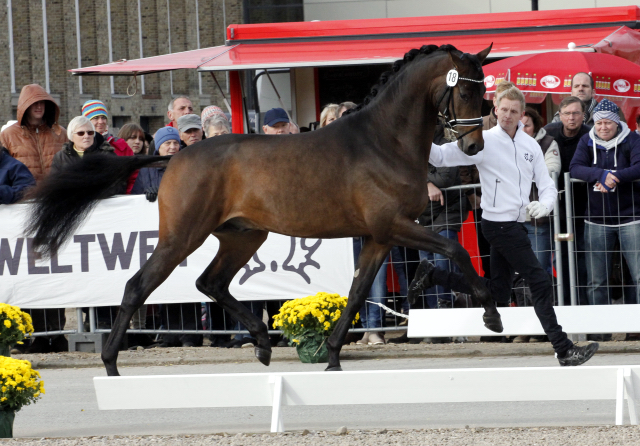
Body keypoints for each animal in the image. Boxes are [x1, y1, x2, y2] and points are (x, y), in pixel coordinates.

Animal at [27, 43, 502, 376]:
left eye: (484, 93)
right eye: (464, 88)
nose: (472, 146)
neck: (384, 141)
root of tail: (173, 158)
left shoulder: (380, 237)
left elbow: (356, 292)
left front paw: (332, 354)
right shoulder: (395, 226)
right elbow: (457, 250)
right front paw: (492, 315)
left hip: (243, 235)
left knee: (210, 282)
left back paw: (261, 341)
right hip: (183, 236)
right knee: (138, 285)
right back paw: (110, 363)